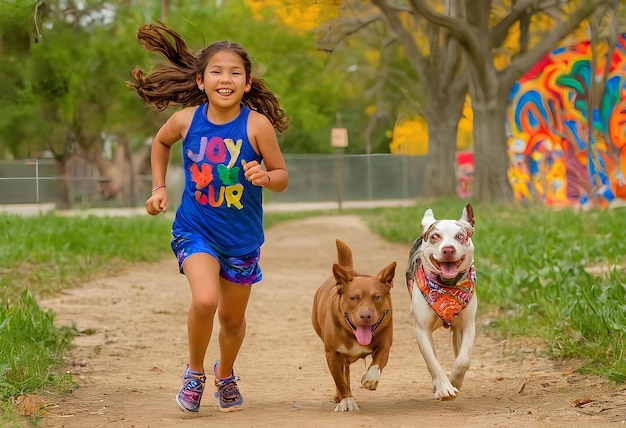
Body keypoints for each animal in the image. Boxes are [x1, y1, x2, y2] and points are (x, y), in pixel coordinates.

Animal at [310, 241, 392, 412]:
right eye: (353, 298)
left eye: (377, 297)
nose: (366, 315)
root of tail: (346, 268)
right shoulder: (332, 354)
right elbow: (339, 380)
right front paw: (347, 401)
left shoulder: (385, 345)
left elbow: (378, 363)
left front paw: (370, 380)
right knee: (343, 373)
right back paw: (340, 396)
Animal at [402, 204, 476, 402]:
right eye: (435, 236)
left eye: (460, 236)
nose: (448, 249)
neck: (446, 286)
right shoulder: (422, 331)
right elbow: (433, 363)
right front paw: (444, 387)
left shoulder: (468, 326)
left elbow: (463, 359)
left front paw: (455, 379)